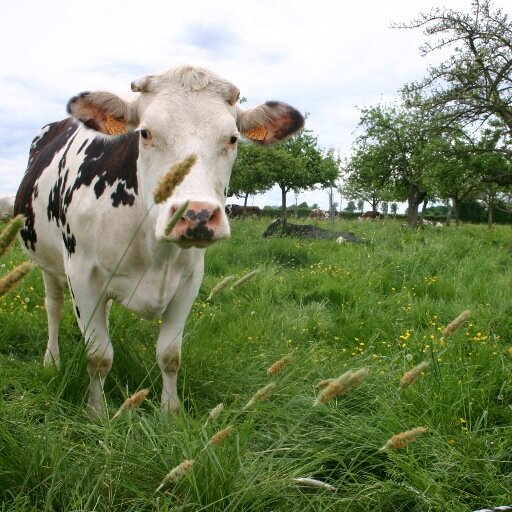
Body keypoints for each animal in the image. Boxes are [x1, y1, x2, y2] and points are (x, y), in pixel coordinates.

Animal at [14, 65, 304, 416]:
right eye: (146, 133)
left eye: (233, 138)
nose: (196, 215)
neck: (153, 247)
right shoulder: (81, 275)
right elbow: (99, 356)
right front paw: (97, 412)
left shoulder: (190, 279)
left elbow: (169, 355)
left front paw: (170, 411)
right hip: (48, 263)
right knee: (53, 307)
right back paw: (52, 360)